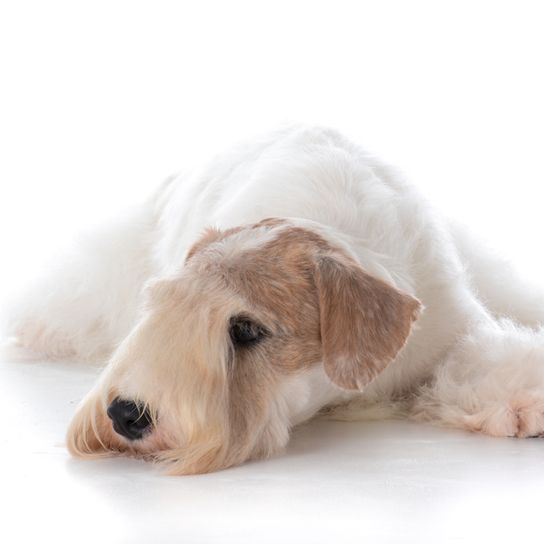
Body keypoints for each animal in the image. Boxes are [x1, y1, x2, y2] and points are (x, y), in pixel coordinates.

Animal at [10, 125, 544, 474]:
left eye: (247, 329)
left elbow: (481, 356)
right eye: (161, 306)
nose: (124, 414)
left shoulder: (451, 323)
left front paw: (525, 403)